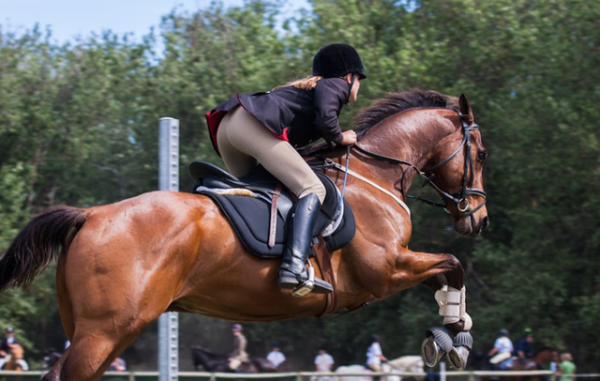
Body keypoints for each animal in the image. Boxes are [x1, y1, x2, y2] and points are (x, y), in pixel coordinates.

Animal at [0, 90, 488, 378]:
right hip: (104, 331)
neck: (374, 174)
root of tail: (90, 215)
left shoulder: (393, 269)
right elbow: (452, 265)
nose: (477, 220)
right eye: (480, 153)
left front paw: (453, 332)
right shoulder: (383, 271)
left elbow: (446, 272)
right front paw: (454, 340)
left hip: (101, 331)